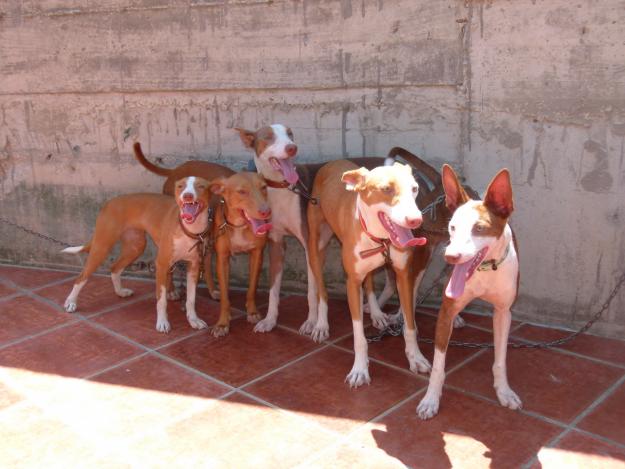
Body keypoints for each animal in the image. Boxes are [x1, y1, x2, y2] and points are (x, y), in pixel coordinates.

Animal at [61, 176, 212, 332]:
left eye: (201, 186)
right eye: (180, 186)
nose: (187, 196)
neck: (189, 230)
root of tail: (109, 203)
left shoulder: (194, 267)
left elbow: (191, 299)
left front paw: (193, 320)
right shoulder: (162, 265)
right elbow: (161, 300)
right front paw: (162, 322)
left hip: (135, 247)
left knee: (114, 268)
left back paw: (120, 292)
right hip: (101, 247)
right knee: (81, 277)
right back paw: (71, 302)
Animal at [207, 172, 270, 336]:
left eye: (264, 187)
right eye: (242, 192)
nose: (266, 212)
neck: (239, 226)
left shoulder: (257, 255)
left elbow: (252, 288)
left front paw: (252, 312)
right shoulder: (222, 259)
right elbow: (225, 296)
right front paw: (223, 323)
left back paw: (212, 291)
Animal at [306, 159, 428, 386]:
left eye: (414, 188)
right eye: (386, 189)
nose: (416, 220)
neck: (381, 239)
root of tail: (331, 163)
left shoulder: (403, 276)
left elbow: (409, 327)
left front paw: (415, 357)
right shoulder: (352, 282)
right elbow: (359, 336)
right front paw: (360, 369)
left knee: (370, 283)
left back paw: (377, 313)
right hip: (315, 246)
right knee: (321, 290)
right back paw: (320, 324)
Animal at [416, 164, 520, 416]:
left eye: (479, 228)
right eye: (453, 227)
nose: (450, 256)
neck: (485, 269)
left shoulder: (503, 312)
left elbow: (500, 360)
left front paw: (504, 391)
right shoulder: (445, 313)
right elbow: (438, 366)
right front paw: (430, 400)